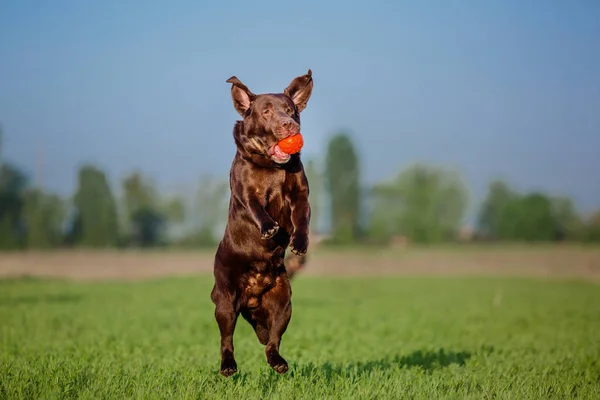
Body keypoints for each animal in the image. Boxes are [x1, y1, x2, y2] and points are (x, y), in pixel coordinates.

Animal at [210, 67, 314, 376]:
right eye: (266, 112)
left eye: (291, 110)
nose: (289, 125)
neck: (273, 167)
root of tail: (252, 299)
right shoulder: (246, 192)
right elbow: (257, 208)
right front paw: (269, 228)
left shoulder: (300, 194)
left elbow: (302, 218)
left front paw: (299, 243)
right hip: (225, 301)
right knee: (226, 339)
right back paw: (228, 366)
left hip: (284, 302)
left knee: (272, 341)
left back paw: (278, 362)